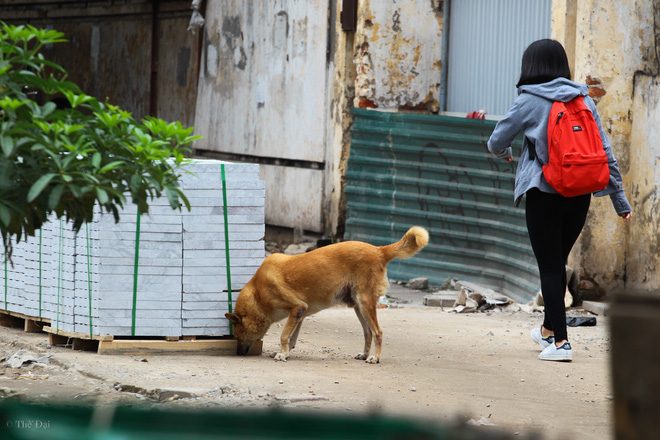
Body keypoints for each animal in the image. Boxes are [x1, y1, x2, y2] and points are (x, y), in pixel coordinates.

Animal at [224, 225, 428, 362]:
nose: (239, 353)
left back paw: (375, 358)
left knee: (377, 332)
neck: (258, 294)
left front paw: (282, 354)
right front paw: (286, 352)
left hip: (365, 303)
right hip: (358, 307)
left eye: (238, 336)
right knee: (368, 333)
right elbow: (291, 337)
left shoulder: (297, 308)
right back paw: (364, 354)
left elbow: (283, 335)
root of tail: (380, 250)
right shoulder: (299, 313)